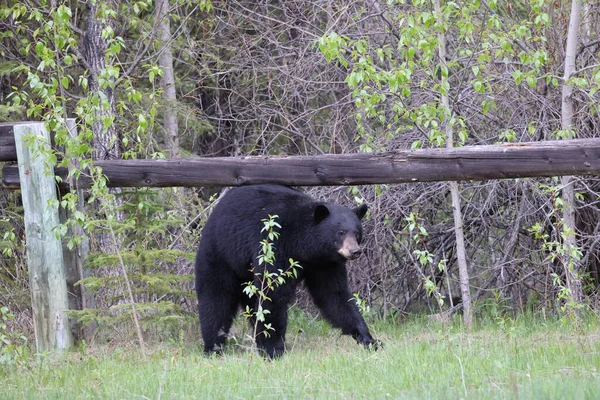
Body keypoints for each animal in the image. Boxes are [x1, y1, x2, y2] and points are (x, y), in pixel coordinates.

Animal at [195, 184, 378, 356]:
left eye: (357, 233)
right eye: (340, 232)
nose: (355, 251)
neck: (305, 245)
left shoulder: (325, 263)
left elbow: (334, 294)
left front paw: (368, 339)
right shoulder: (276, 244)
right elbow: (273, 293)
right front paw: (274, 349)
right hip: (221, 254)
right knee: (216, 299)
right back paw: (213, 346)